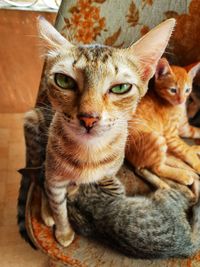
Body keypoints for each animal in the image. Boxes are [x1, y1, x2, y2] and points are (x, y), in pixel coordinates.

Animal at [36, 16, 176, 247]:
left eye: (121, 88)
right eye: (64, 81)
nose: (88, 118)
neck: (89, 153)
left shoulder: (109, 173)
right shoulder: (55, 180)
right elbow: (59, 208)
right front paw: (64, 231)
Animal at [126, 57, 200, 189]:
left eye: (187, 90)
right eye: (173, 90)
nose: (182, 100)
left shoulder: (184, 129)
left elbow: (195, 134)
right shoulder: (171, 136)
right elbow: (186, 151)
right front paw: (198, 164)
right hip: (157, 139)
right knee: (156, 168)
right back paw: (184, 176)